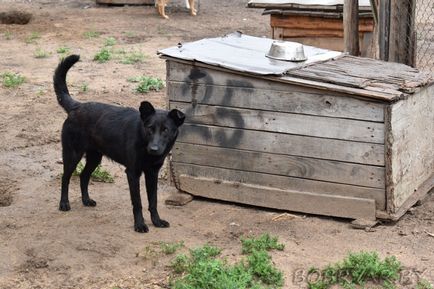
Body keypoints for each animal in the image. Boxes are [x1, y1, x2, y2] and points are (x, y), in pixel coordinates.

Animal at [53, 54, 184, 232]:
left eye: (165, 130)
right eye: (150, 128)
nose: (154, 149)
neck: (143, 142)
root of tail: (77, 106)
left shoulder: (152, 173)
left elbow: (153, 201)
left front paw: (157, 221)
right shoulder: (132, 173)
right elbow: (138, 202)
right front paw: (140, 225)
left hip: (95, 157)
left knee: (83, 176)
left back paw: (86, 200)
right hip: (72, 155)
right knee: (65, 178)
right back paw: (64, 203)